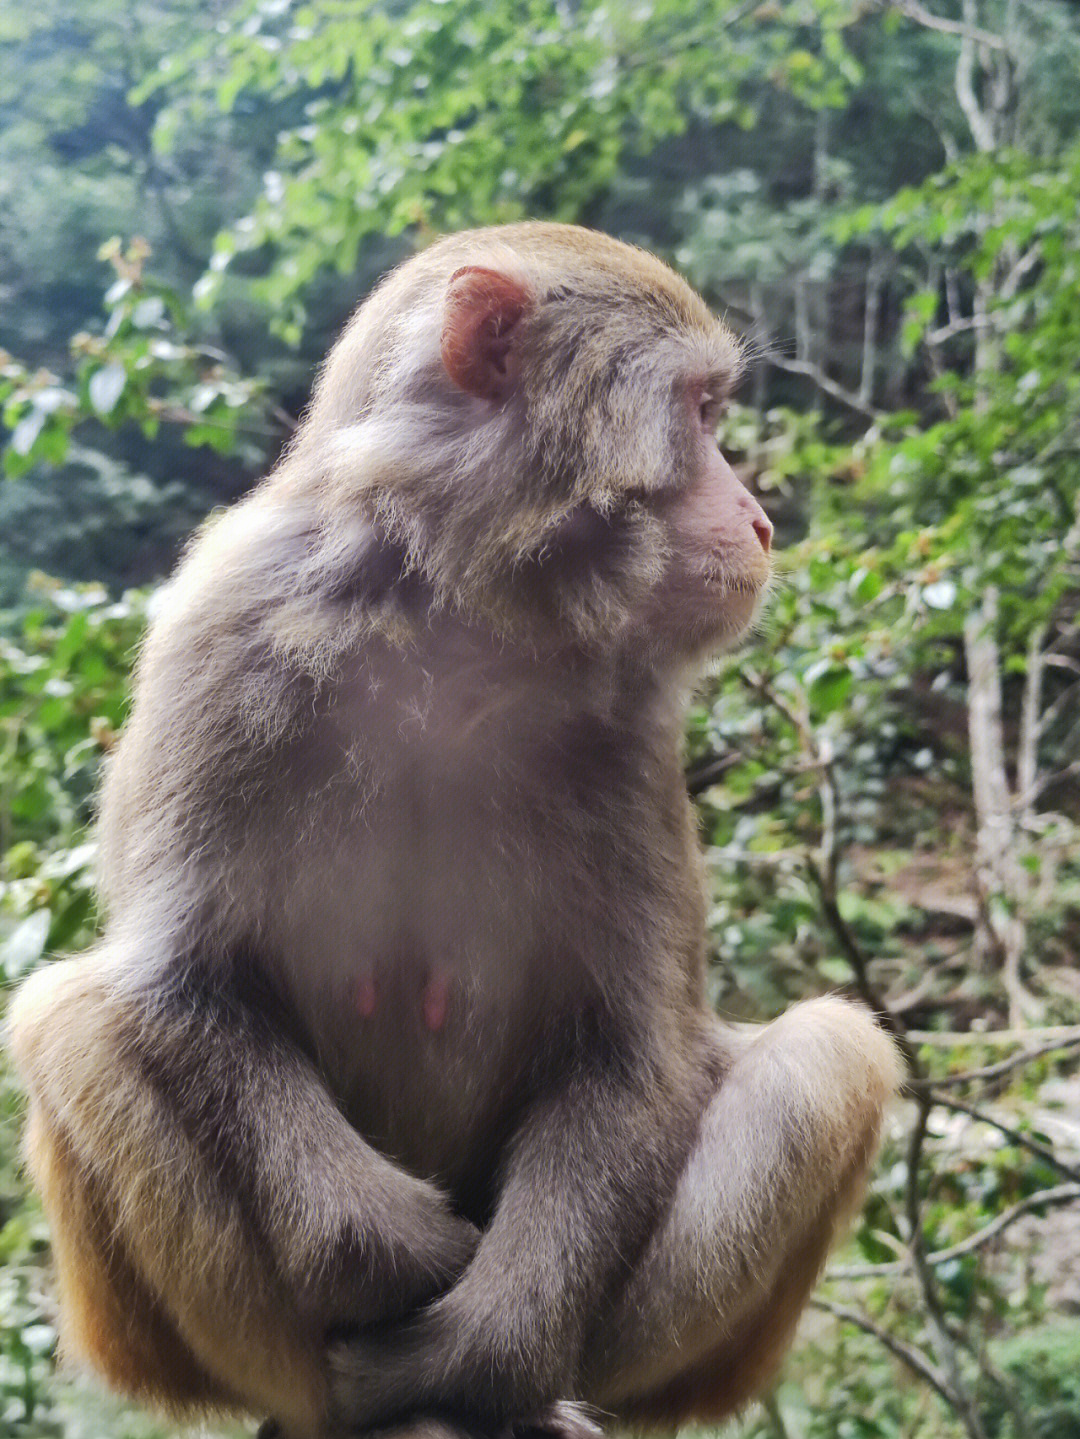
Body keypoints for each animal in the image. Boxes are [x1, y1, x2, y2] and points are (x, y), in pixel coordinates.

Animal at [6, 224, 903, 1439]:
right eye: (701, 410)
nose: (761, 522)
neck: (460, 623)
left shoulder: (635, 726)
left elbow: (625, 1052)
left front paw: (484, 1344)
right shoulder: (225, 631)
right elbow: (185, 988)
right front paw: (393, 1252)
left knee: (829, 1055)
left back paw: (503, 1395)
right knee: (73, 1017)